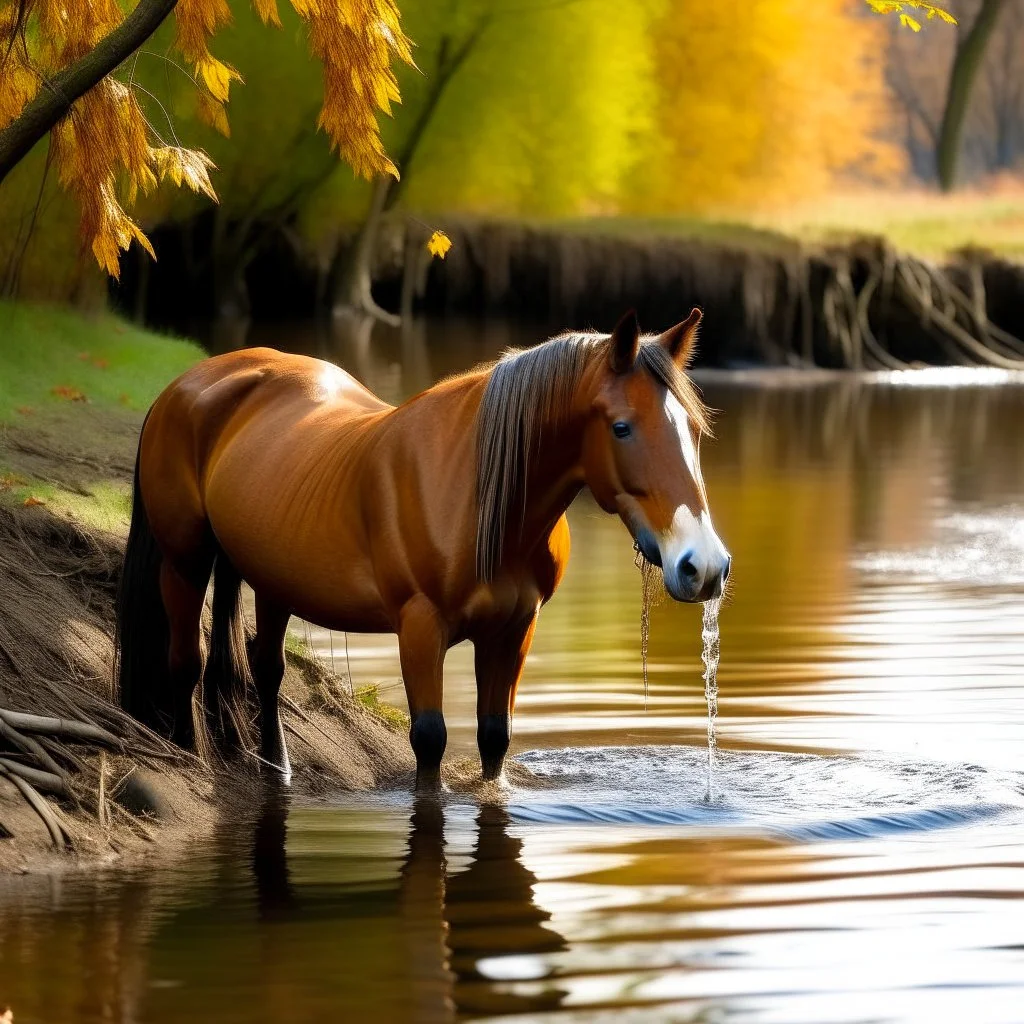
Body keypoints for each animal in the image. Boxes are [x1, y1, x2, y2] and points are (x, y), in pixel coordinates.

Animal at [116, 307, 733, 786]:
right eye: (622, 428)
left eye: (692, 431)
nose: (703, 566)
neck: (478, 500)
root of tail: (190, 382)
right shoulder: (419, 627)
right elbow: (430, 739)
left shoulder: (515, 628)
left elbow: (494, 737)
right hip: (185, 562)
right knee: (186, 660)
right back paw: (188, 755)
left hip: (271, 580)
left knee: (265, 668)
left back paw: (278, 767)